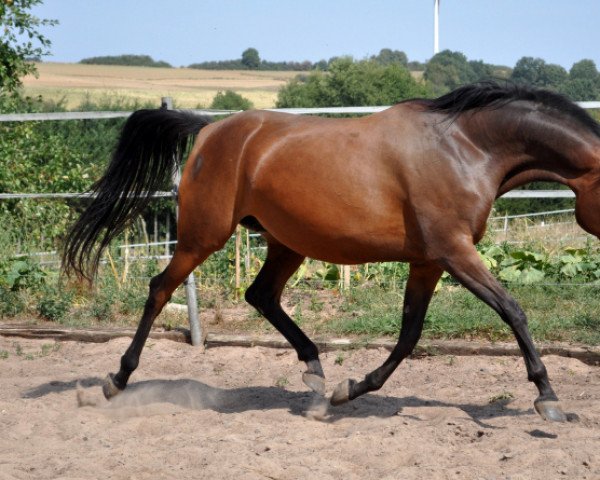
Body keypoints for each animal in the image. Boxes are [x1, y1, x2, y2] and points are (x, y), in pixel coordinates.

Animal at [62, 81, 600, 420]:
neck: (466, 148)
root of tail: (211, 130)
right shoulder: (454, 253)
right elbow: (512, 310)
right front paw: (549, 398)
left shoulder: (427, 262)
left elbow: (408, 335)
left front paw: (348, 391)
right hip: (203, 236)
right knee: (159, 289)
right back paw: (116, 380)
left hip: (286, 243)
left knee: (261, 296)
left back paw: (315, 374)